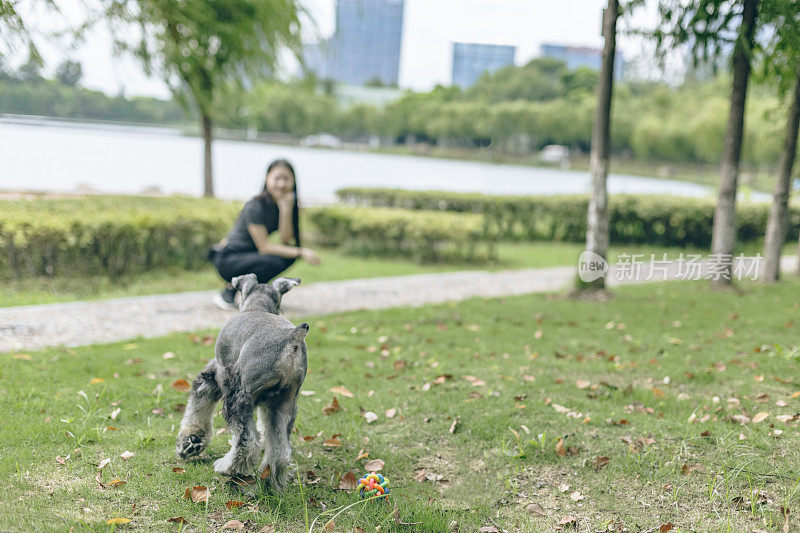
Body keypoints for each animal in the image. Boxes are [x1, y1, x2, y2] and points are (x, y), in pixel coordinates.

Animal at [177, 272, 308, 488]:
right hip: (285, 403)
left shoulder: (216, 374)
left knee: (246, 441)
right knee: (280, 451)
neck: (256, 306)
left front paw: (191, 440)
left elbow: (199, 405)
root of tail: (292, 338)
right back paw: (269, 481)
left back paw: (227, 467)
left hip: (239, 397)